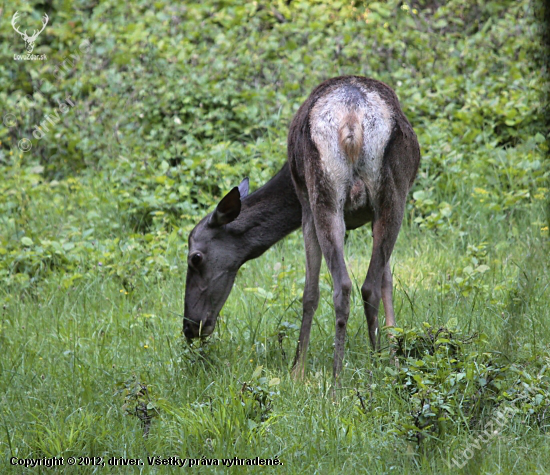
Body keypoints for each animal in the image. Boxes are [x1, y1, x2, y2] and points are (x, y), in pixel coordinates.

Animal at [185, 76, 422, 384]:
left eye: (195, 258)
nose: (190, 326)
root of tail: (352, 120)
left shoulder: (304, 205)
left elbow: (309, 292)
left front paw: (297, 370)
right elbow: (387, 282)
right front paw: (394, 358)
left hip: (324, 195)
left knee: (344, 286)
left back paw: (338, 379)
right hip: (390, 198)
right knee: (366, 286)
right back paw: (372, 368)